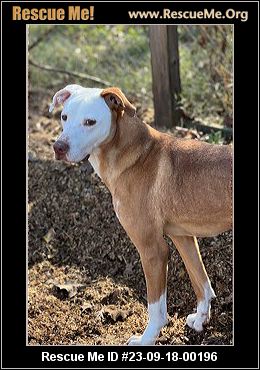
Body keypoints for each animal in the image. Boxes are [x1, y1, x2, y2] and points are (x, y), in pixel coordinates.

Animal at [49, 85, 233, 346]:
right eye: (64, 117)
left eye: (90, 122)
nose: (59, 148)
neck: (134, 154)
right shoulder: (183, 237)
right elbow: (201, 282)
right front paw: (200, 319)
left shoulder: (153, 250)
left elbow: (156, 308)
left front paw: (147, 339)